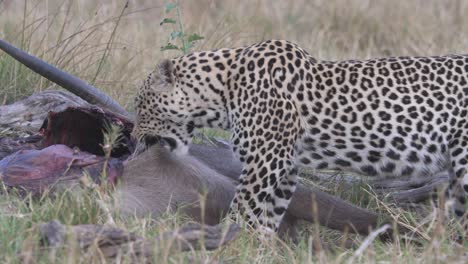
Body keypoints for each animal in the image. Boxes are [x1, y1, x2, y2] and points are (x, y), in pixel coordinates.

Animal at [133, 39, 468, 235]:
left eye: (140, 104)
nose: (134, 135)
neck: (223, 90)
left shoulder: (264, 161)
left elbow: (244, 207)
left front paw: (227, 242)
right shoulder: (285, 165)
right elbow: (269, 214)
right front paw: (259, 248)